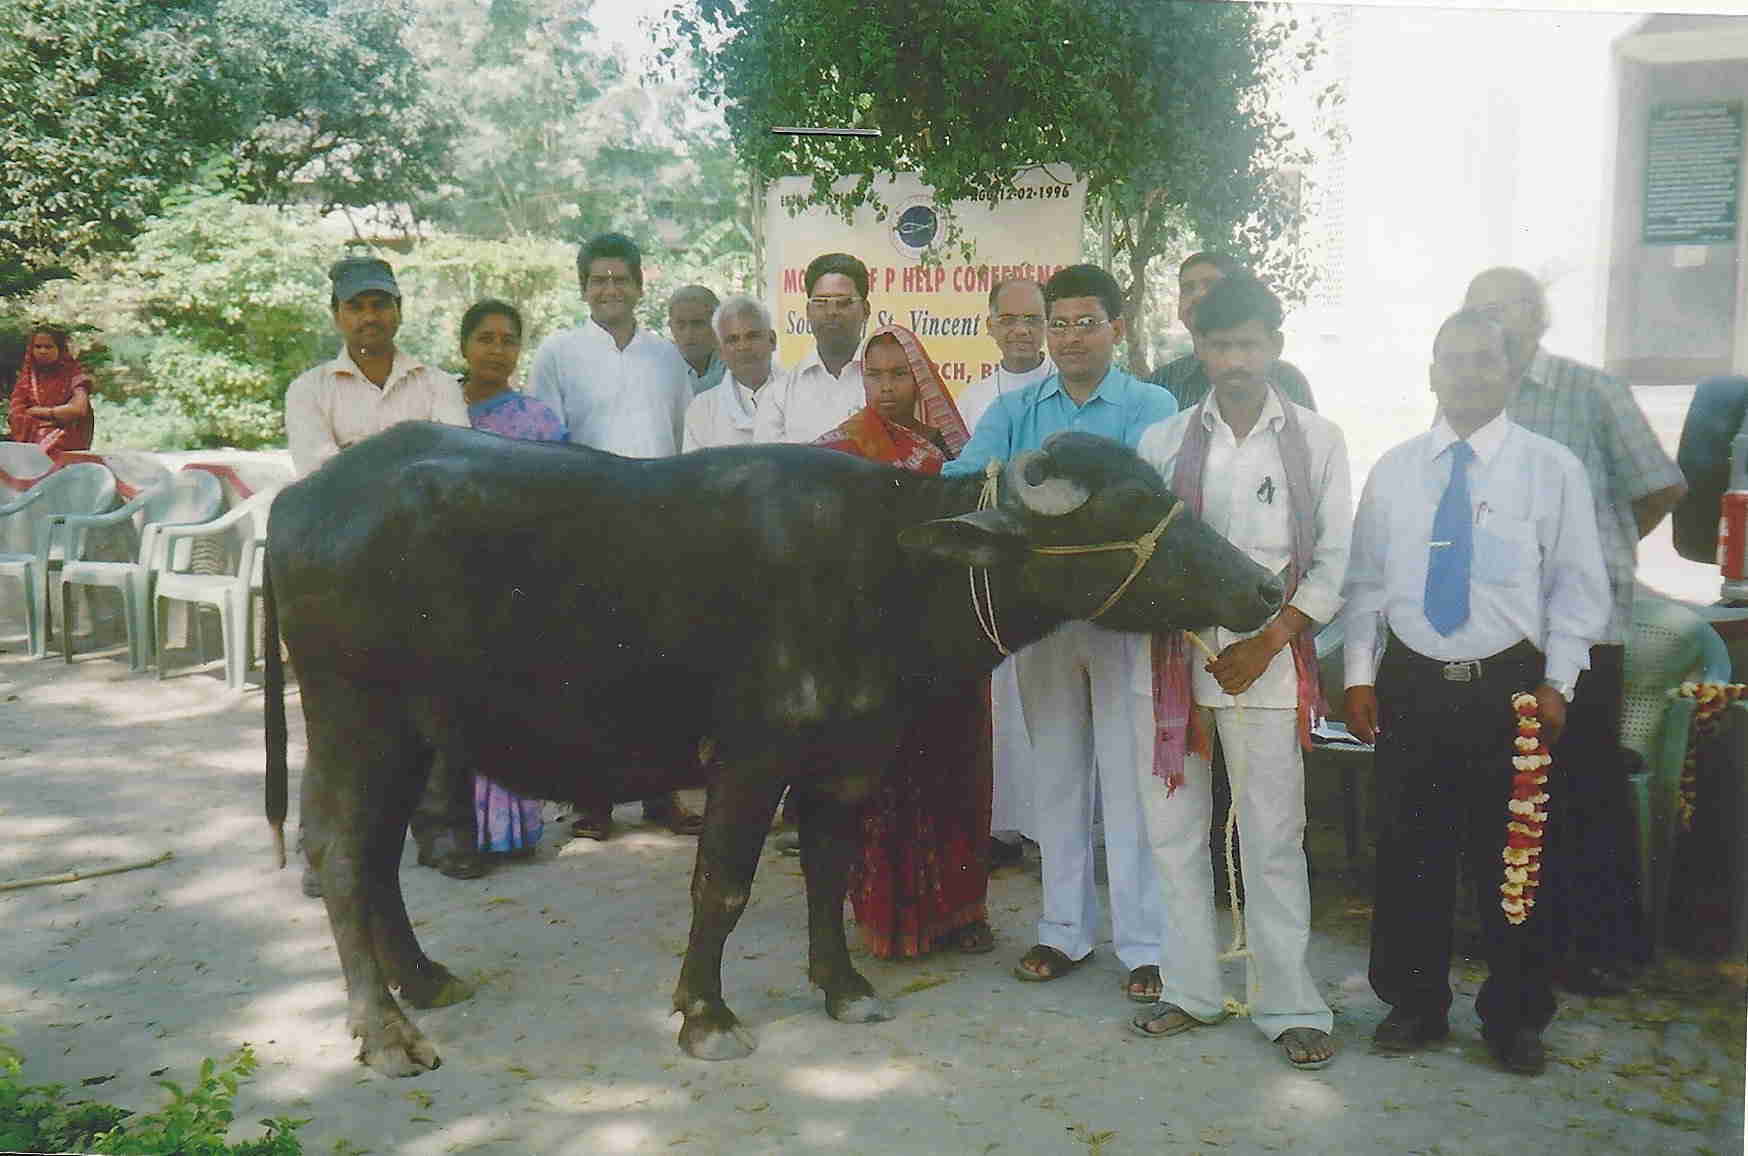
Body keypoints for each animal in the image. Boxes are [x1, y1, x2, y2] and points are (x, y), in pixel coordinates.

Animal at [262, 421, 1286, 1070]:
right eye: (1131, 508)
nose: (1266, 589)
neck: (884, 565)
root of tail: (298, 501)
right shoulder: (751, 757)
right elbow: (722, 885)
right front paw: (706, 1015)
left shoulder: (848, 758)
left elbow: (829, 869)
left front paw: (843, 986)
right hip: (354, 718)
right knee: (340, 856)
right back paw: (385, 1033)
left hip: (413, 735)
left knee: (378, 860)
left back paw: (425, 982)